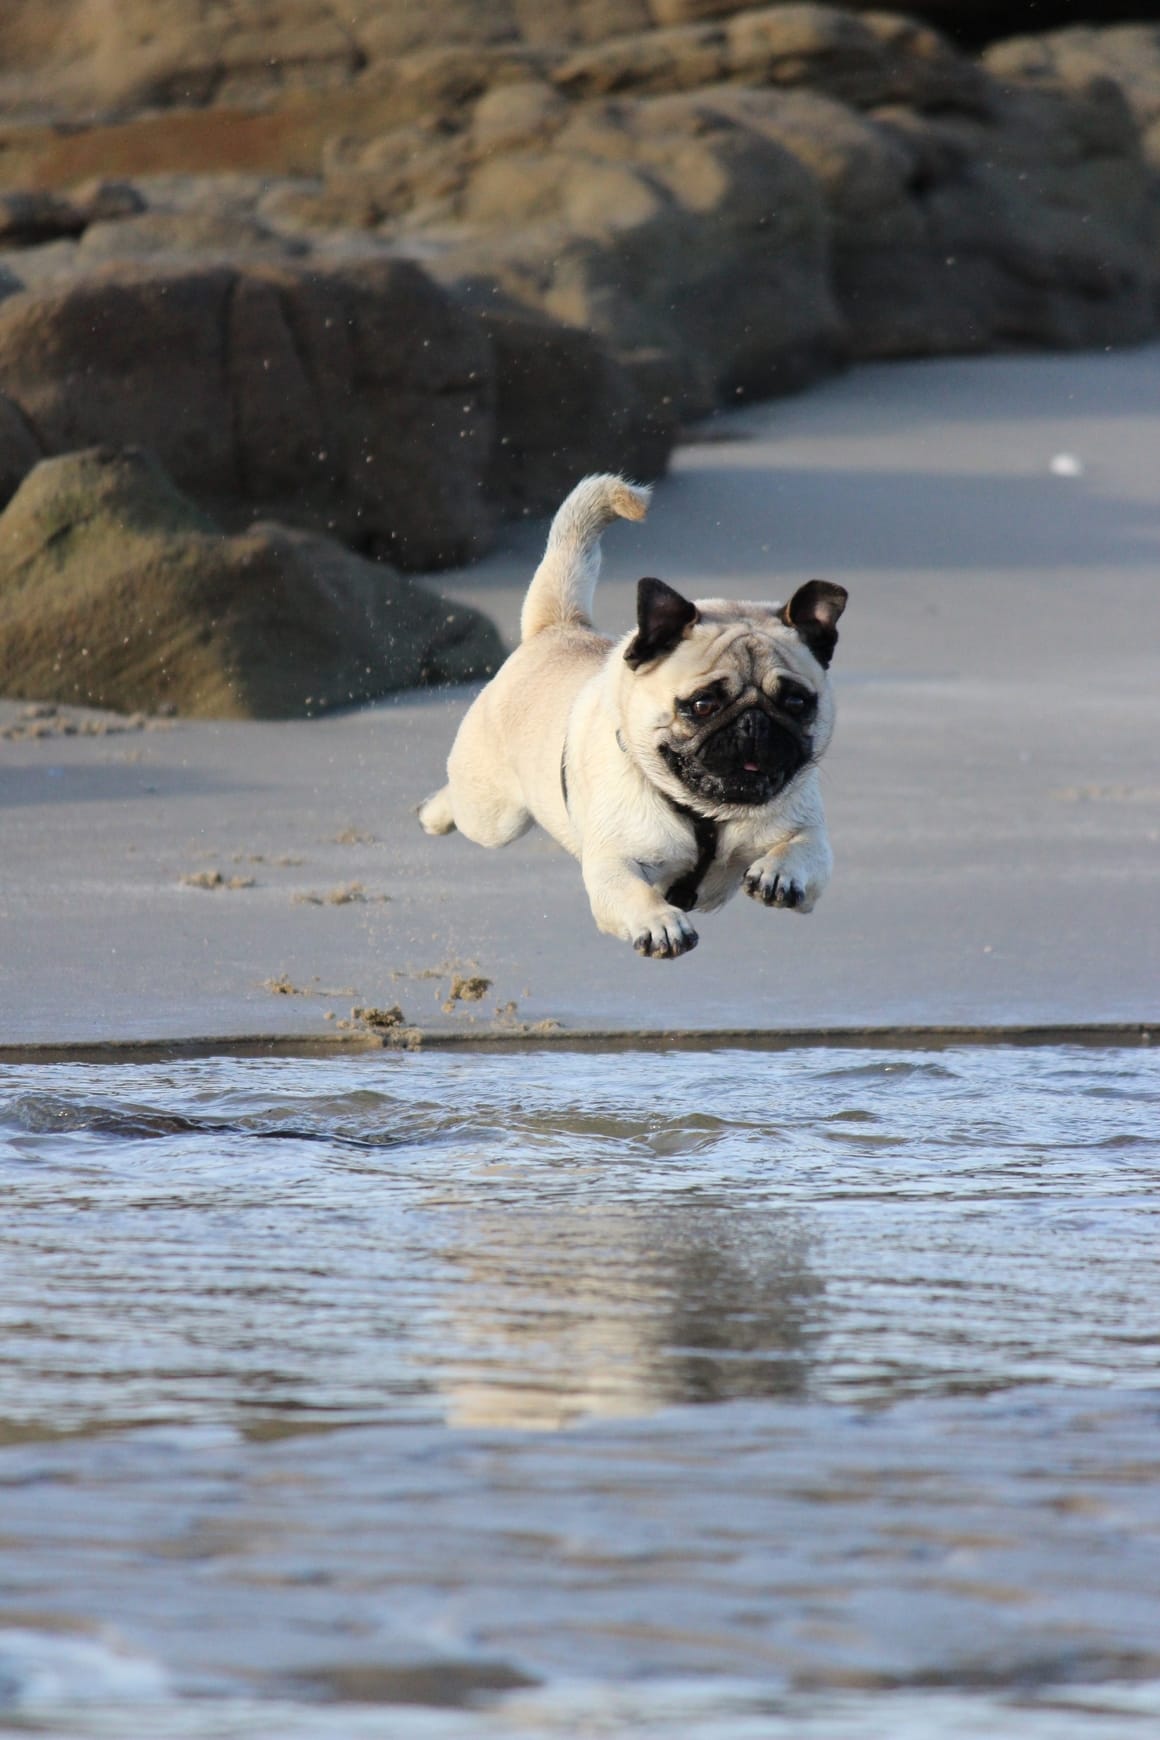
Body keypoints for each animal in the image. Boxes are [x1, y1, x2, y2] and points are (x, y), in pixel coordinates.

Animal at [417, 473, 845, 967]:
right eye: (703, 705)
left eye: (796, 702)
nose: (754, 722)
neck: (707, 815)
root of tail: (559, 627)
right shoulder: (611, 865)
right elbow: (633, 893)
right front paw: (660, 923)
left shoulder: (810, 839)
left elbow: (802, 849)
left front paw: (779, 873)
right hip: (494, 815)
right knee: (464, 806)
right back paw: (433, 814)